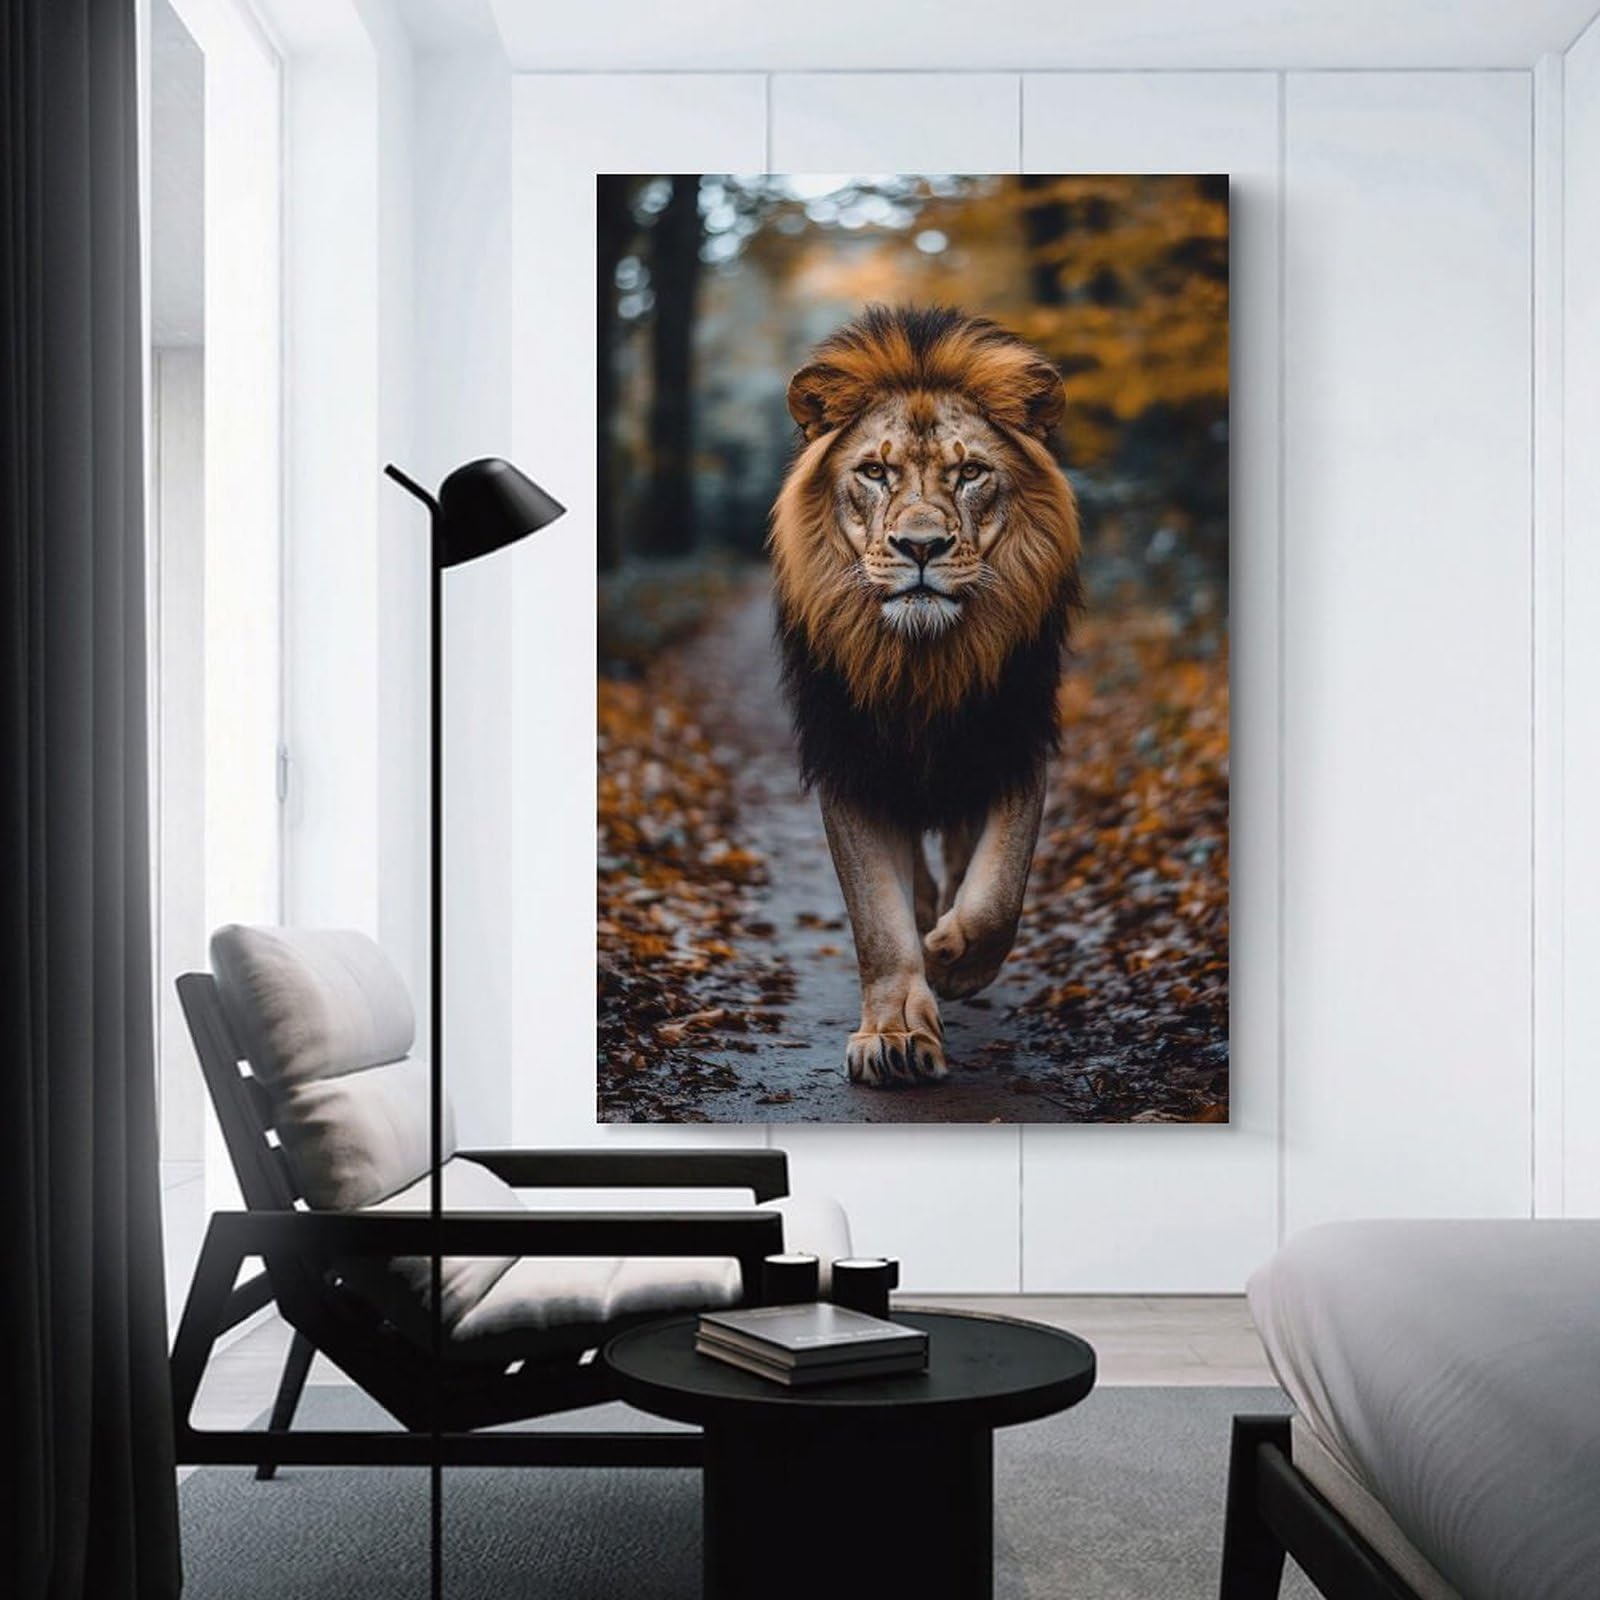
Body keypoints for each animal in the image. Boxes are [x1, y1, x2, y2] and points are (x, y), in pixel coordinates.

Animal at [769, 305, 1082, 1088]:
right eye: (875, 472)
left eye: (970, 473)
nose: (920, 547)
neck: (921, 663)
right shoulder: (850, 760)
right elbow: (877, 921)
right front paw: (895, 1032)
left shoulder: (1013, 739)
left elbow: (998, 892)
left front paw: (953, 959)